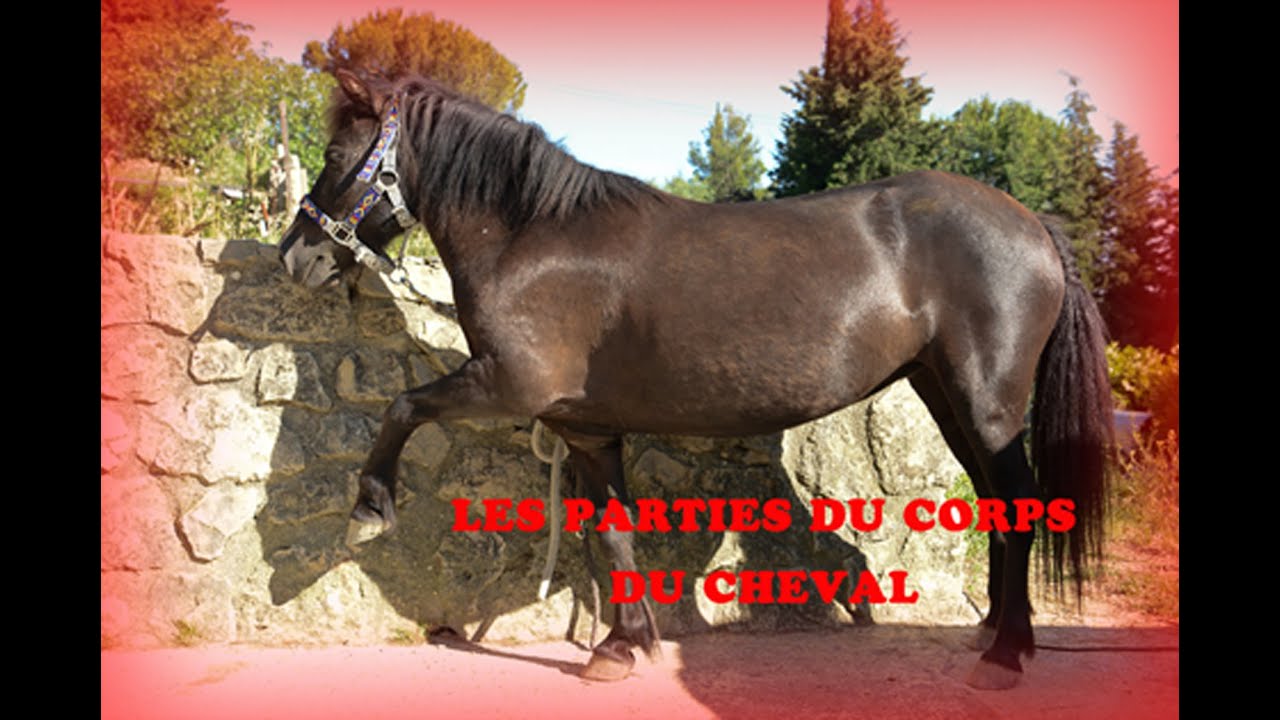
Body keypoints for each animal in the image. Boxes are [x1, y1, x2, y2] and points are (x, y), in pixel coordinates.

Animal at [279, 69, 1113, 690]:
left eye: (334, 153)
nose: (296, 257)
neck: (532, 236)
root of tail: (1032, 223)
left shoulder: (506, 386)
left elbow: (402, 405)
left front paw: (369, 509)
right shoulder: (586, 426)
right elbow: (614, 531)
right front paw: (621, 646)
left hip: (987, 399)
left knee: (1018, 501)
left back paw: (1005, 654)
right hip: (943, 391)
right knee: (999, 503)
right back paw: (995, 632)